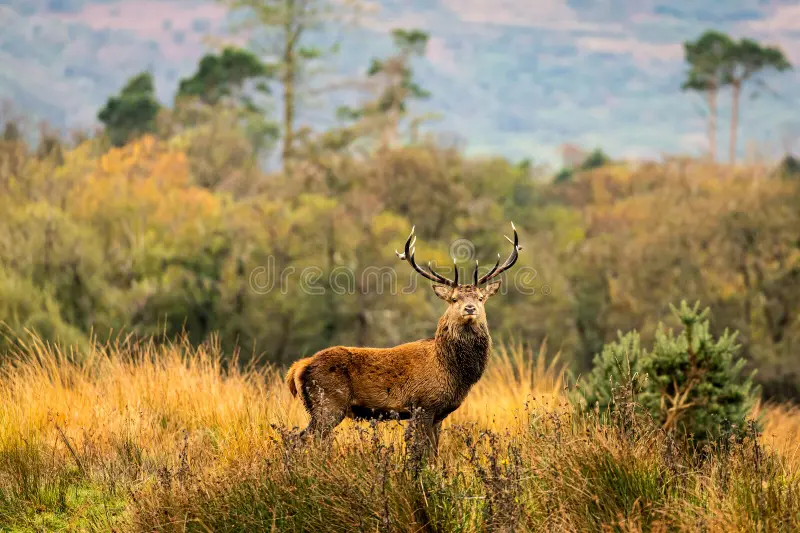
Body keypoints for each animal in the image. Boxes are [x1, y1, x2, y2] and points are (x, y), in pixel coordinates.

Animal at [284, 223, 522, 452]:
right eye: (454, 299)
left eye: (481, 298)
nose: (470, 308)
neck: (451, 371)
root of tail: (299, 367)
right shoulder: (423, 405)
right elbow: (421, 451)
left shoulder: (439, 414)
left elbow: (434, 452)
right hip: (328, 403)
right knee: (301, 439)